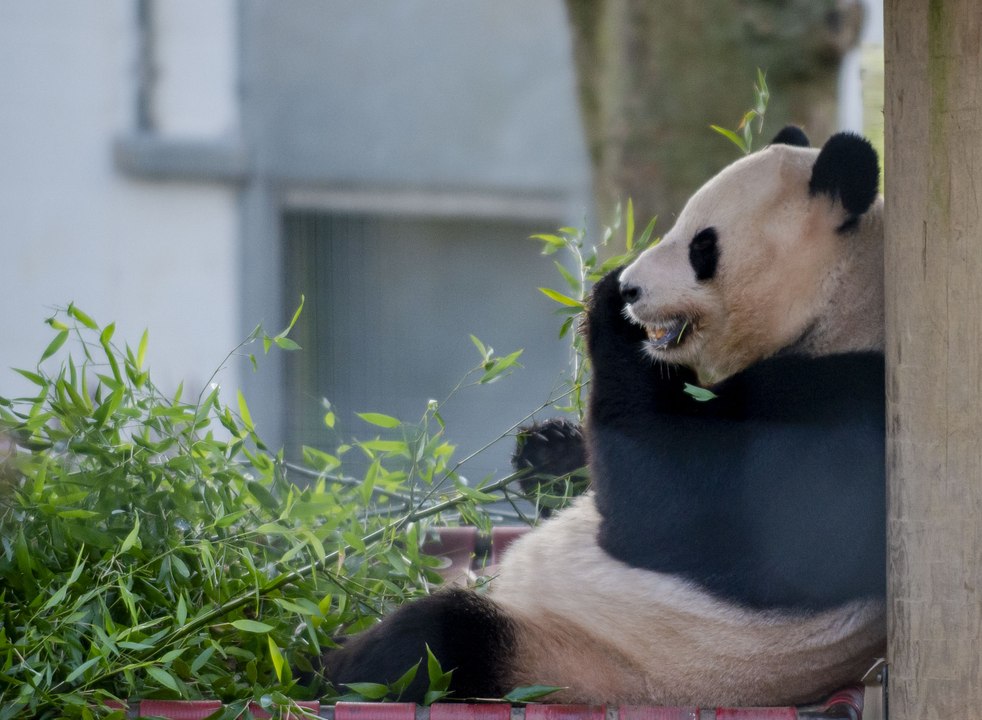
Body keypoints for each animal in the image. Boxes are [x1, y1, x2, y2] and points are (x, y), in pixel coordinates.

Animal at [320, 126, 886, 707]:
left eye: (702, 246)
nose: (634, 288)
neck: (844, 310)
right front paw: (549, 451)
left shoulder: (841, 417)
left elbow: (672, 508)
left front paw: (609, 302)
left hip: (572, 662)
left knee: (435, 642)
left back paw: (322, 662)